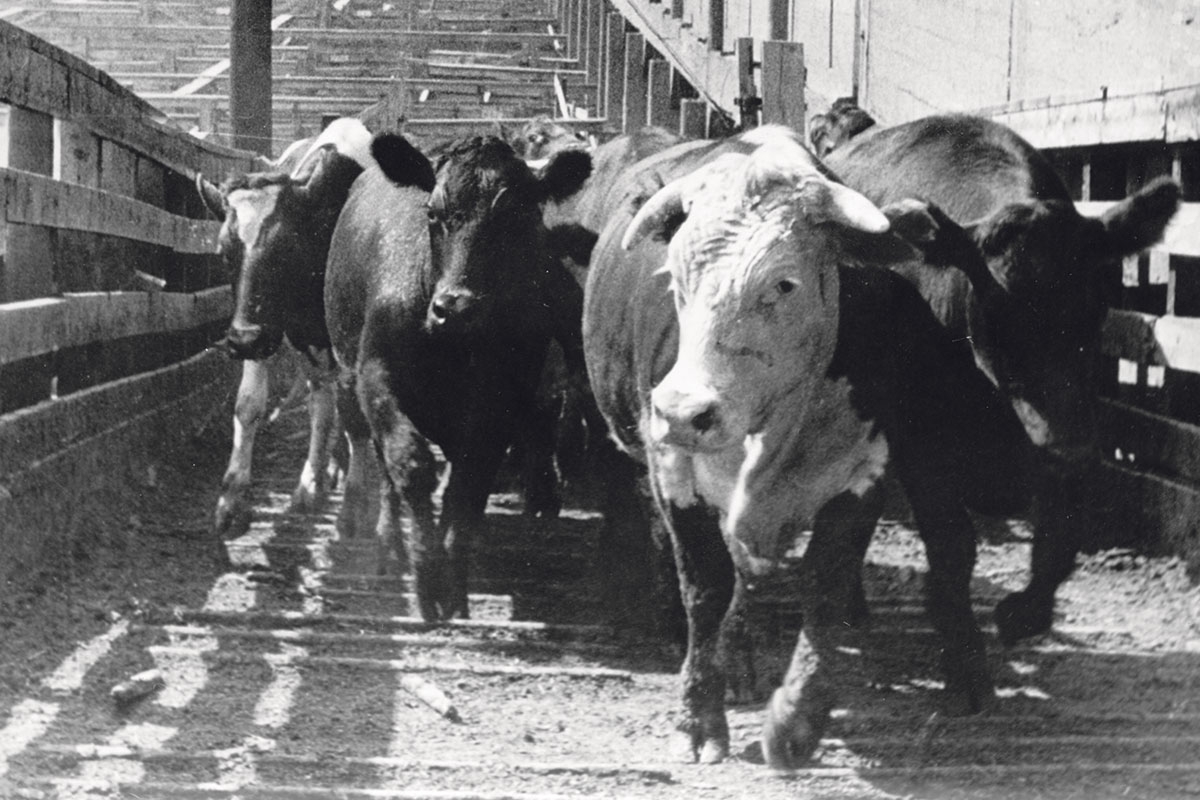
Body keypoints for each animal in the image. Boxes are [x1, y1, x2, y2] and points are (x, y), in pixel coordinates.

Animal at [196, 118, 374, 534]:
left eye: (286, 249)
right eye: (224, 252)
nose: (242, 340)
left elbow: (356, 414)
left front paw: (356, 503)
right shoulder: (267, 328)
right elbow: (249, 405)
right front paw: (231, 498)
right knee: (322, 401)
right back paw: (314, 479)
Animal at [326, 134, 592, 623]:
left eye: (516, 215)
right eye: (433, 213)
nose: (457, 308)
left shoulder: (500, 403)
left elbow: (468, 482)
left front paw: (452, 579)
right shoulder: (376, 377)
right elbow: (410, 463)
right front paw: (425, 574)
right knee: (386, 467)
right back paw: (389, 546)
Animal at [583, 128, 1032, 772]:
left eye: (783, 283)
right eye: (676, 281)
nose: (682, 412)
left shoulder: (862, 470)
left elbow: (824, 586)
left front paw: (795, 720)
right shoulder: (674, 471)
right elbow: (705, 587)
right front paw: (697, 718)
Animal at [825, 107, 1180, 642]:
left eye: (1096, 305)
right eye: (996, 310)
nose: (1068, 449)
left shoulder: (1070, 424)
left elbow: (1060, 541)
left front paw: (1024, 612)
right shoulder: (919, 436)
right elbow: (953, 541)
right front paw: (956, 630)